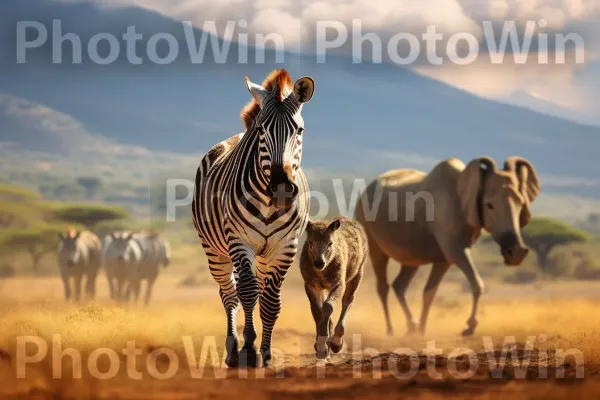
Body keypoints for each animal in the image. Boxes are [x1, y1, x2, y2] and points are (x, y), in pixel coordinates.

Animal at [193, 69, 316, 368]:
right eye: (261, 131)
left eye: (299, 130)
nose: (282, 188)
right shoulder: (239, 241)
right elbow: (247, 293)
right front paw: (248, 350)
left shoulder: (286, 247)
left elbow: (270, 301)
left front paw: (266, 352)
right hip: (215, 250)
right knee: (229, 294)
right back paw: (232, 349)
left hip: (263, 255)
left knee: (256, 289)